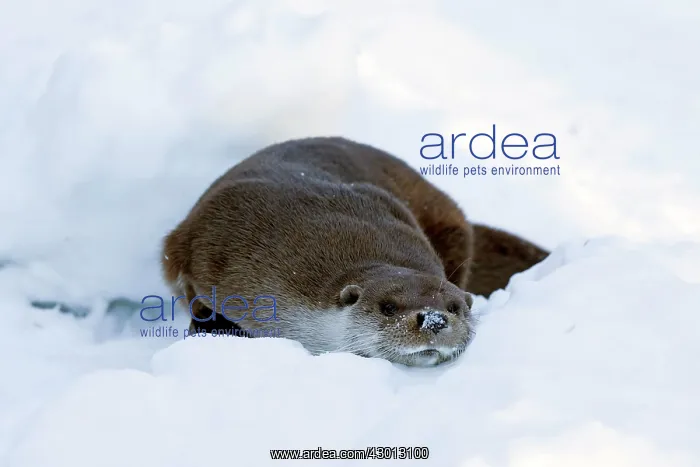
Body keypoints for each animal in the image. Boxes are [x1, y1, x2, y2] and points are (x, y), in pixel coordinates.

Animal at [161, 136, 548, 366]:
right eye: (388, 307)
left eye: (454, 307)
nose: (435, 320)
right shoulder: (214, 242)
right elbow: (190, 286)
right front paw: (210, 326)